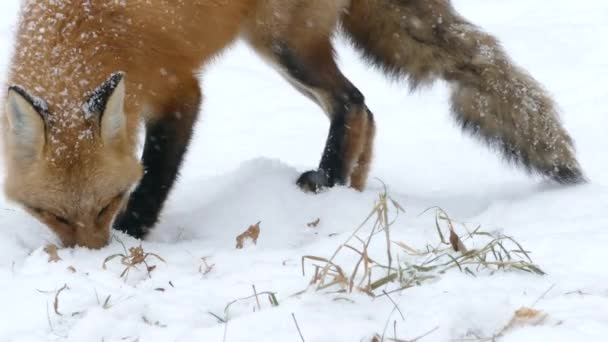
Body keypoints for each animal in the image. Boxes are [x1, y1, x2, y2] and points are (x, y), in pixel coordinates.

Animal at [3, 0, 584, 248]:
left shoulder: (180, 93)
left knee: (352, 102)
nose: (92, 256)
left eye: (106, 205)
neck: (80, 36)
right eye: (50, 214)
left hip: (283, 44)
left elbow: (155, 181)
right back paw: (349, 189)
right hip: (277, 48)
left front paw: (132, 239)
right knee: (365, 112)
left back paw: (327, 181)